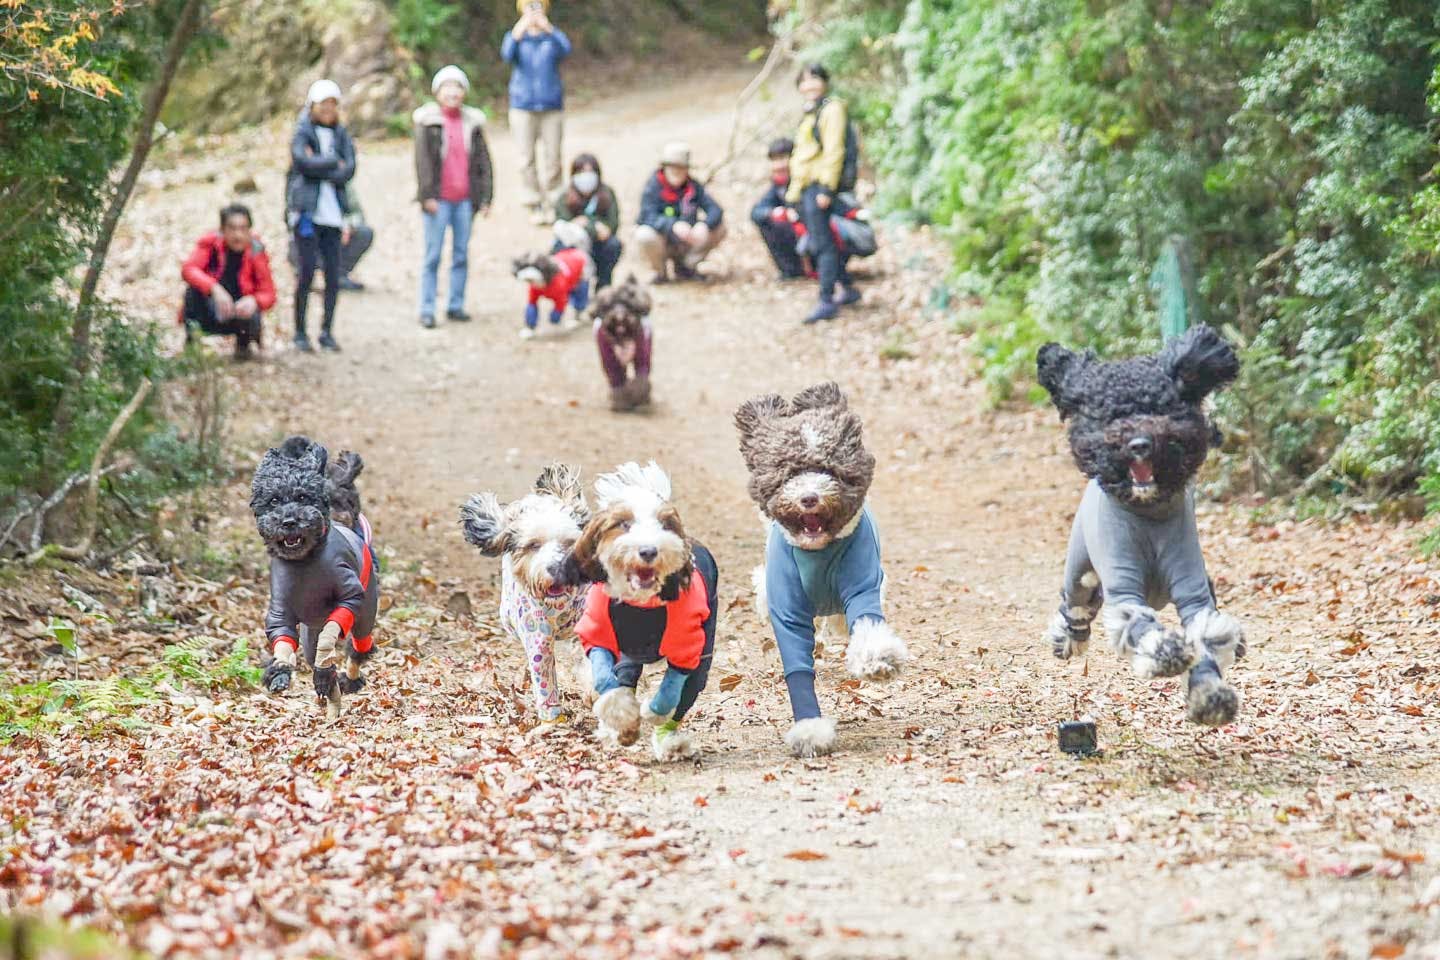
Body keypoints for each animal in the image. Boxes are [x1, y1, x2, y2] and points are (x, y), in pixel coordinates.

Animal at [253, 440, 380, 716]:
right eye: (273, 501)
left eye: (303, 497)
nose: (289, 521)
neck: (304, 561)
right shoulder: (280, 612)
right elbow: (283, 642)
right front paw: (278, 673)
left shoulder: (350, 597)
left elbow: (333, 630)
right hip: (310, 630)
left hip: (366, 613)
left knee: (359, 646)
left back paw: (349, 679)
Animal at [463, 463, 593, 719]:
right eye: (533, 545)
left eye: (569, 542)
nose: (556, 568)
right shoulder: (537, 636)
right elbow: (544, 675)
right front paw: (552, 717)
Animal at [590, 276, 653, 414]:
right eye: (609, 306)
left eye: (628, 304)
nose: (619, 317)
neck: (623, 337)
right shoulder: (609, 358)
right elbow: (617, 379)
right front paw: (621, 403)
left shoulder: (641, 354)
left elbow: (641, 379)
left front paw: (639, 398)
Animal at [1036, 326, 1249, 725]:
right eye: (1111, 416)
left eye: (1160, 409)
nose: (1139, 444)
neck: (1149, 514)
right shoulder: (1124, 587)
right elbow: (1137, 622)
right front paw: (1166, 652)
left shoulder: (1193, 591)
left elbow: (1206, 637)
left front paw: (1210, 696)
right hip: (1082, 574)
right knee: (1075, 607)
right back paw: (1067, 638)